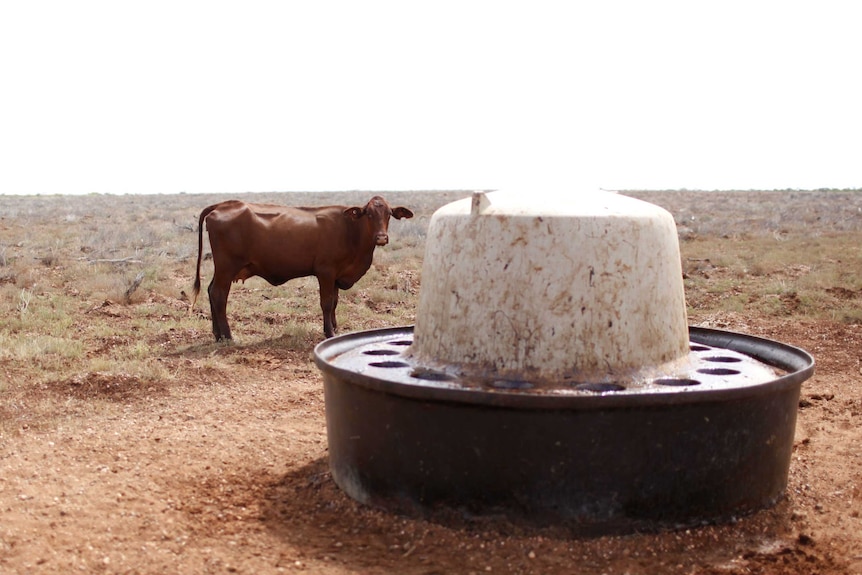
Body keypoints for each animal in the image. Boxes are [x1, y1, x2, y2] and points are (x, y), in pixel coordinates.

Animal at [193, 198, 416, 342]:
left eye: (389, 214)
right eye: (368, 214)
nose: (382, 238)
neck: (350, 229)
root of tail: (223, 204)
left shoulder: (336, 276)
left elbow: (335, 303)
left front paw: (334, 328)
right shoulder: (326, 271)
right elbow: (327, 303)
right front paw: (329, 333)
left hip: (222, 269)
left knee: (211, 291)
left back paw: (217, 335)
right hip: (227, 267)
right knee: (219, 294)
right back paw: (228, 336)